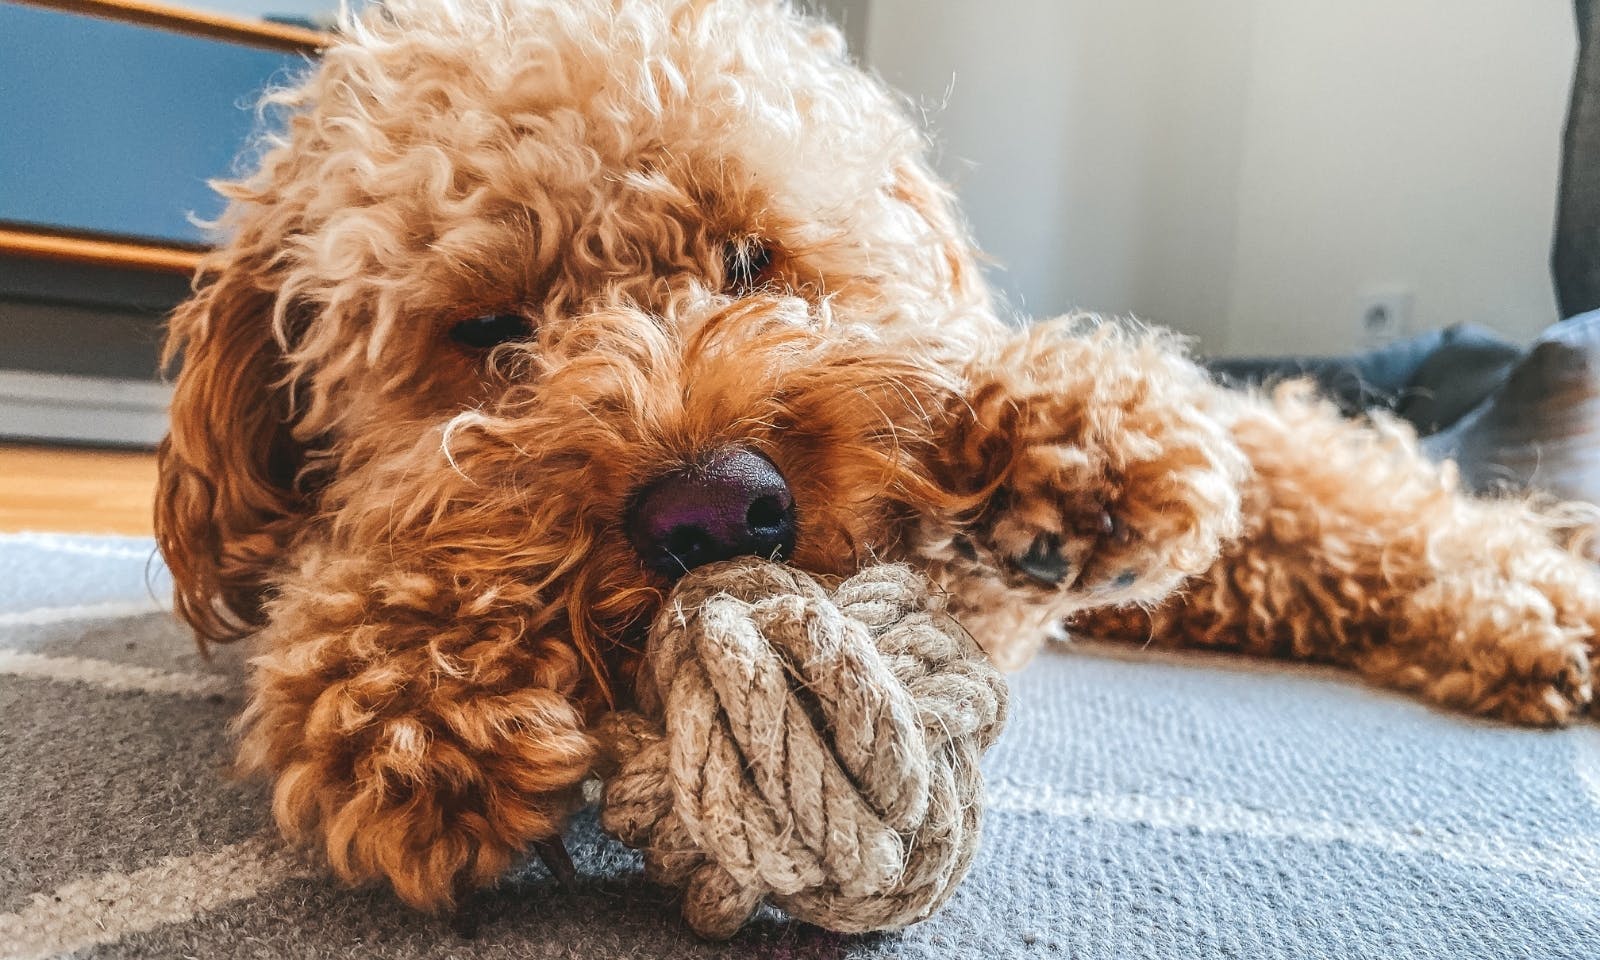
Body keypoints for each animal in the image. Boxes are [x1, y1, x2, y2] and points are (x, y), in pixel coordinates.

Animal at [156, 0, 1600, 915]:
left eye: (750, 259)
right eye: (491, 332)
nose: (714, 509)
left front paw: (1057, 443)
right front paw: (411, 693)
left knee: (1383, 503)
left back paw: (1536, 620)